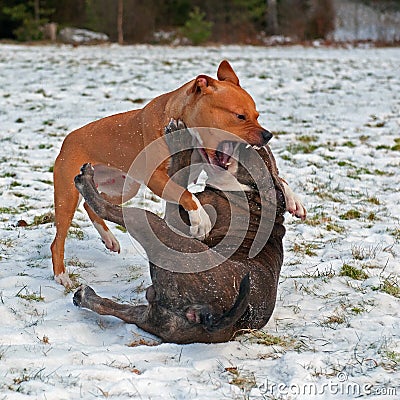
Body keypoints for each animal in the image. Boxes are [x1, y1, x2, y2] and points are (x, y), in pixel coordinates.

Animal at [51, 60, 274, 288]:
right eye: (240, 116)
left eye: (257, 116)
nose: (268, 135)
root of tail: (69, 137)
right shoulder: (156, 178)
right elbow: (186, 195)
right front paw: (200, 220)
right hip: (67, 197)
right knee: (58, 240)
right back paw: (62, 276)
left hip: (124, 187)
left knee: (91, 204)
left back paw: (109, 239)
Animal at [73, 120, 290, 342]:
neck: (252, 195)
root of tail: (212, 312)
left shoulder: (178, 220)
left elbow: (180, 177)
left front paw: (178, 137)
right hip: (155, 318)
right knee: (114, 308)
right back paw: (84, 296)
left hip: (158, 230)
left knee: (107, 209)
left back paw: (86, 181)